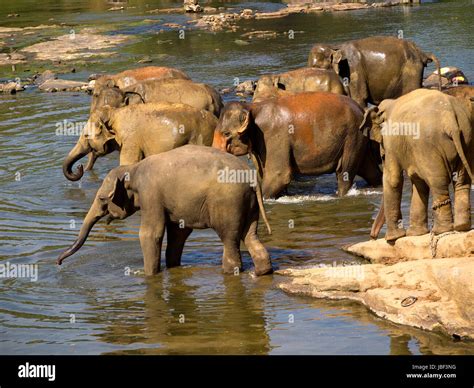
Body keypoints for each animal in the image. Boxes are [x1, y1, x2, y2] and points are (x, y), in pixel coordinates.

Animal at [58, 145, 274, 276]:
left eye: (102, 199)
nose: (58, 263)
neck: (133, 169)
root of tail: (251, 177)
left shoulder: (151, 194)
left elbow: (150, 234)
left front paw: (148, 275)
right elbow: (178, 233)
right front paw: (171, 266)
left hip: (228, 204)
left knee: (230, 239)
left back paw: (231, 271)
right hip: (249, 205)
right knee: (250, 236)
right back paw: (259, 272)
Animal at [62, 103, 217, 182]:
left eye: (86, 135)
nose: (80, 167)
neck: (114, 113)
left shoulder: (131, 140)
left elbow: (126, 164)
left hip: (202, 136)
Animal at [211, 92, 382, 199]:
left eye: (226, 133)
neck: (252, 108)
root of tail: (362, 110)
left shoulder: (275, 136)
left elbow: (279, 175)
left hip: (352, 136)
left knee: (344, 173)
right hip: (359, 139)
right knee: (370, 169)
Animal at [308, 35, 440, 107]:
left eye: (316, 67)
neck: (335, 46)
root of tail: (422, 53)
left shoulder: (354, 68)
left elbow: (359, 98)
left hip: (411, 69)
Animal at [362, 89, 472, 241]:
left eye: (383, 157)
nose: (372, 236)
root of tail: (450, 118)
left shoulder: (392, 142)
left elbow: (394, 179)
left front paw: (393, 238)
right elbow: (418, 181)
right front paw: (415, 234)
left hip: (430, 146)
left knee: (438, 183)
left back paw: (441, 230)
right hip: (467, 139)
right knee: (462, 181)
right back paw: (461, 227)